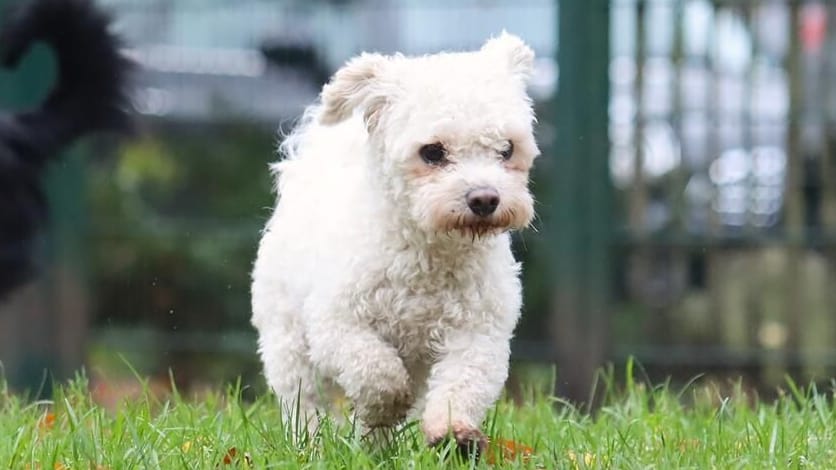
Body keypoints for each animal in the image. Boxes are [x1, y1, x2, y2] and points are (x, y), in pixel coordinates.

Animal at [253, 33, 544, 452]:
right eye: (433, 151)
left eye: (507, 149)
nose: (485, 199)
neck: (428, 253)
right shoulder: (336, 325)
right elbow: (379, 375)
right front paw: (387, 405)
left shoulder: (478, 333)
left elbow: (463, 383)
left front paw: (453, 433)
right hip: (286, 335)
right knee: (302, 396)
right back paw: (312, 443)